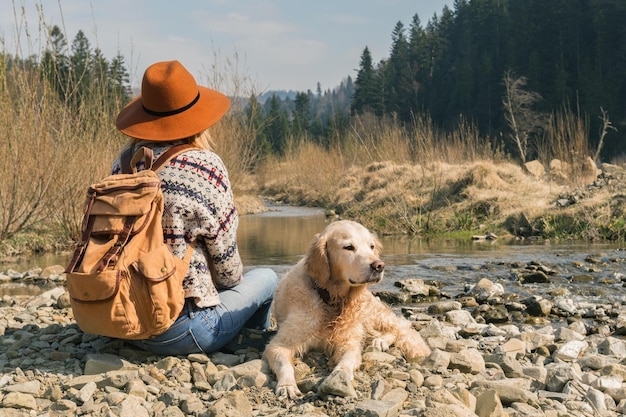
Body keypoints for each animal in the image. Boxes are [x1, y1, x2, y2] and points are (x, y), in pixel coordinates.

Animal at [262, 219, 428, 398]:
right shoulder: (279, 344)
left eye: (371, 246)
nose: (379, 265)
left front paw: (339, 377)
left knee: (401, 328)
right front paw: (287, 385)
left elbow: (347, 360)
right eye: (349, 247)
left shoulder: (349, 342)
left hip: (372, 315)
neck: (330, 299)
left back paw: (381, 341)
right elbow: (283, 362)